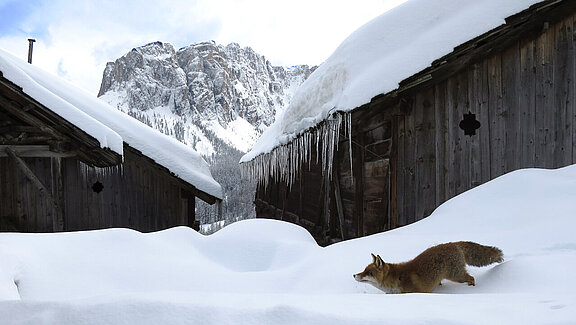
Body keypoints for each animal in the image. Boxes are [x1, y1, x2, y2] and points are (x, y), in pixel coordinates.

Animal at [354, 239, 502, 292]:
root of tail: (453, 243)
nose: (354, 275)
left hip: (456, 276)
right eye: (364, 270)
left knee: (471, 278)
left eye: (369, 273)